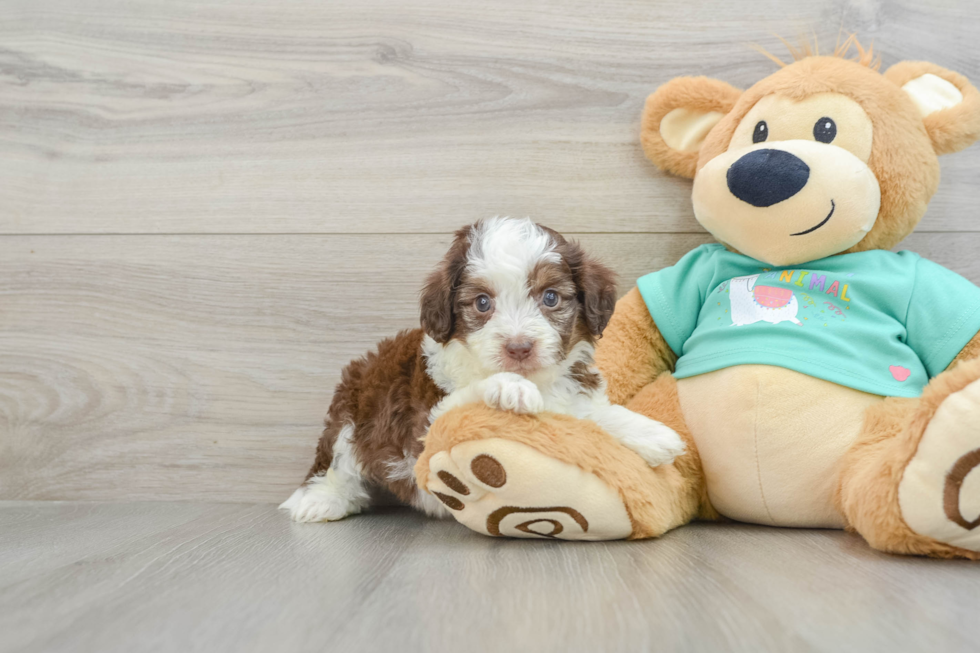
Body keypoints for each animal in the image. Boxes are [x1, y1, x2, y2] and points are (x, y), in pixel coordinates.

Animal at [280, 216, 684, 524]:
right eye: (482, 303)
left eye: (551, 297)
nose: (518, 348)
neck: (538, 381)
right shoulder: (427, 422)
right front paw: (510, 387)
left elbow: (587, 416)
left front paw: (648, 433)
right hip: (353, 410)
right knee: (338, 462)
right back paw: (319, 501)